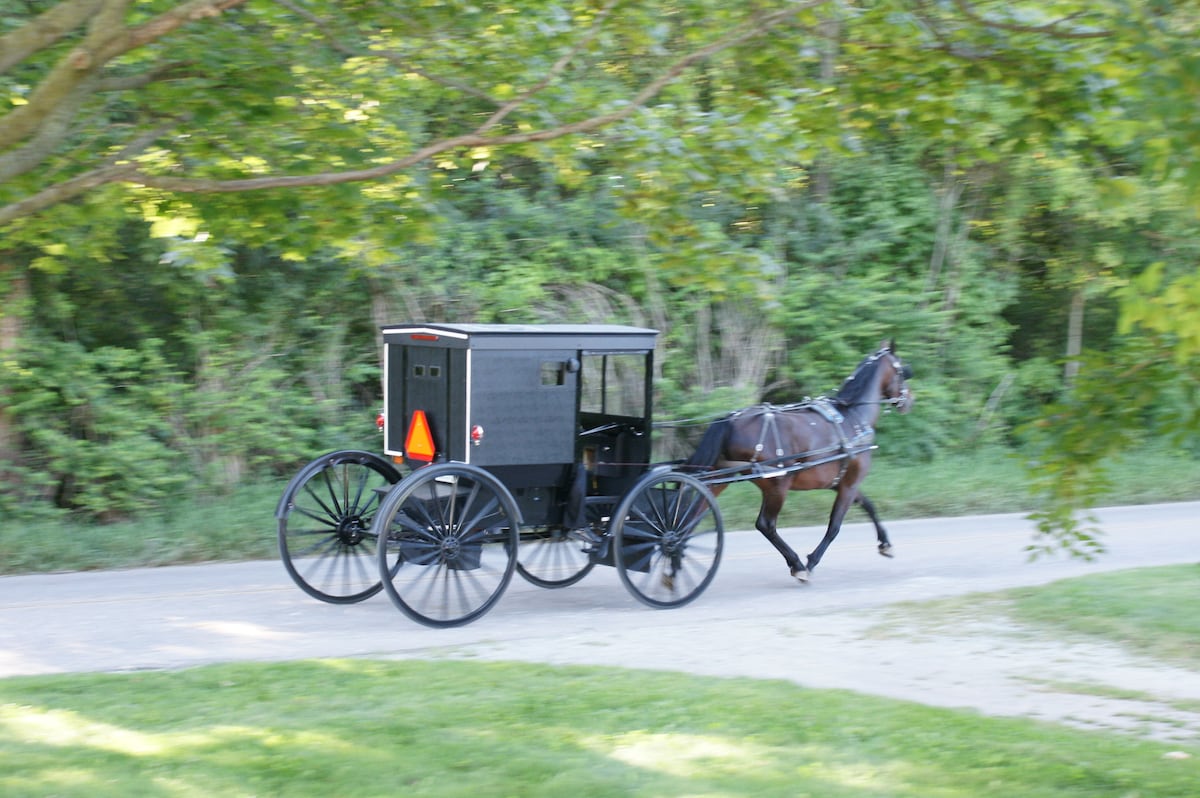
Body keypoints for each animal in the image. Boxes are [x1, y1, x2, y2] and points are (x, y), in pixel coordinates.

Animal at [691, 338, 912, 583]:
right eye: (902, 371)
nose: (909, 400)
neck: (854, 417)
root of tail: (731, 419)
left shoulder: (842, 483)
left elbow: (869, 506)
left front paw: (885, 543)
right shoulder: (849, 484)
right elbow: (835, 526)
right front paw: (811, 561)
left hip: (723, 477)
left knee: (695, 512)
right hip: (777, 485)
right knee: (766, 524)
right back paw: (796, 564)